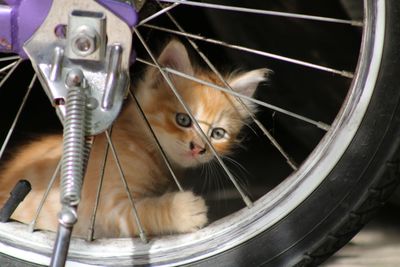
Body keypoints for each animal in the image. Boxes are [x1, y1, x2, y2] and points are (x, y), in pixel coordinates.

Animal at [0, 39, 268, 239]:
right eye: (183, 119)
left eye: (218, 134)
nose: (198, 148)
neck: (146, 147)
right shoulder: (103, 208)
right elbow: (141, 214)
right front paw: (183, 211)